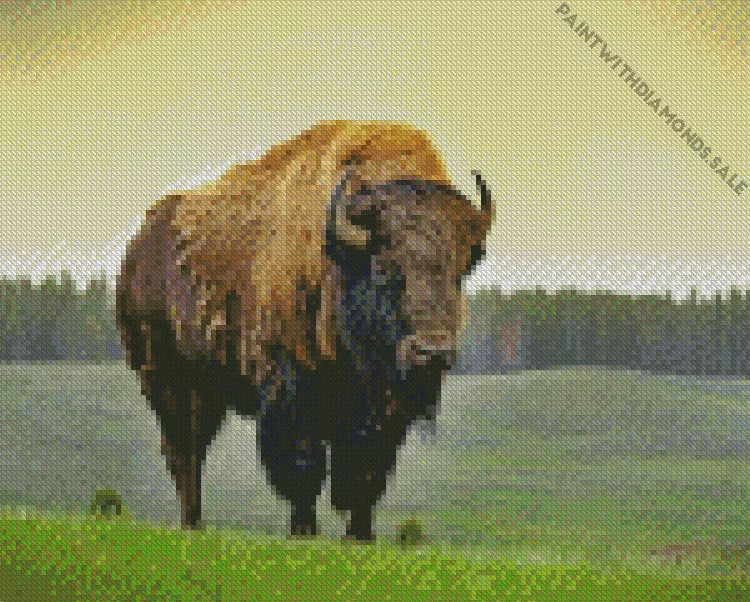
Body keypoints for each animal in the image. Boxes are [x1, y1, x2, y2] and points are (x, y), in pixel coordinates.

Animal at [116, 121, 493, 541]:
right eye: (384, 269)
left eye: (459, 273)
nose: (432, 352)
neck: (341, 260)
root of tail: (137, 249)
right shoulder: (291, 390)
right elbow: (303, 466)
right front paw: (304, 531)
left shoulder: (381, 412)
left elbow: (365, 474)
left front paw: (359, 535)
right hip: (169, 382)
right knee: (185, 452)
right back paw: (193, 524)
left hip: (209, 389)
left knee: (191, 450)